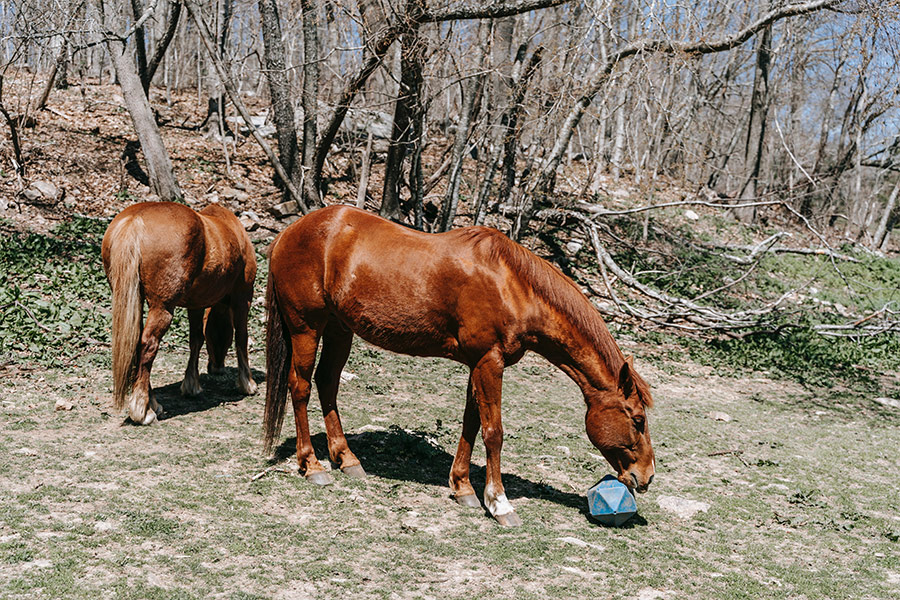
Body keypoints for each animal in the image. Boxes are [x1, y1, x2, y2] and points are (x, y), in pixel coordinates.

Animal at [102, 201, 258, 425]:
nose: (217, 367)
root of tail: (135, 220)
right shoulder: (243, 297)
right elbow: (242, 338)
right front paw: (247, 383)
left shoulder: (196, 305)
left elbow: (196, 340)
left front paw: (191, 385)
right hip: (163, 308)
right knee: (148, 344)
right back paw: (142, 411)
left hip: (133, 300)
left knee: (137, 344)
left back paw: (153, 404)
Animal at [263, 205, 654, 526]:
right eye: (638, 420)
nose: (646, 476)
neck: (512, 285)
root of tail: (289, 232)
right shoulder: (489, 362)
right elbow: (493, 431)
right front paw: (499, 503)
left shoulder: (477, 364)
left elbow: (471, 423)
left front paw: (463, 487)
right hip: (306, 328)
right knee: (300, 387)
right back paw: (312, 465)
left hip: (339, 329)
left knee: (327, 383)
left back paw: (347, 459)